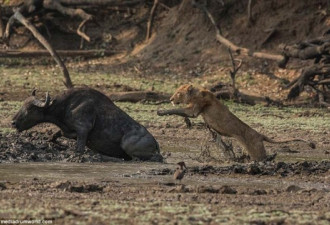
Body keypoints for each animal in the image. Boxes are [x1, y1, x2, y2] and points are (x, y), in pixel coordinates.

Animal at [157, 83, 314, 161]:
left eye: (178, 93)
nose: (170, 98)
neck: (194, 93)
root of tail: (260, 134)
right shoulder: (195, 112)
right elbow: (182, 113)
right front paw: (187, 122)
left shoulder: (194, 110)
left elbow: (176, 109)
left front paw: (160, 111)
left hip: (255, 149)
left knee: (262, 157)